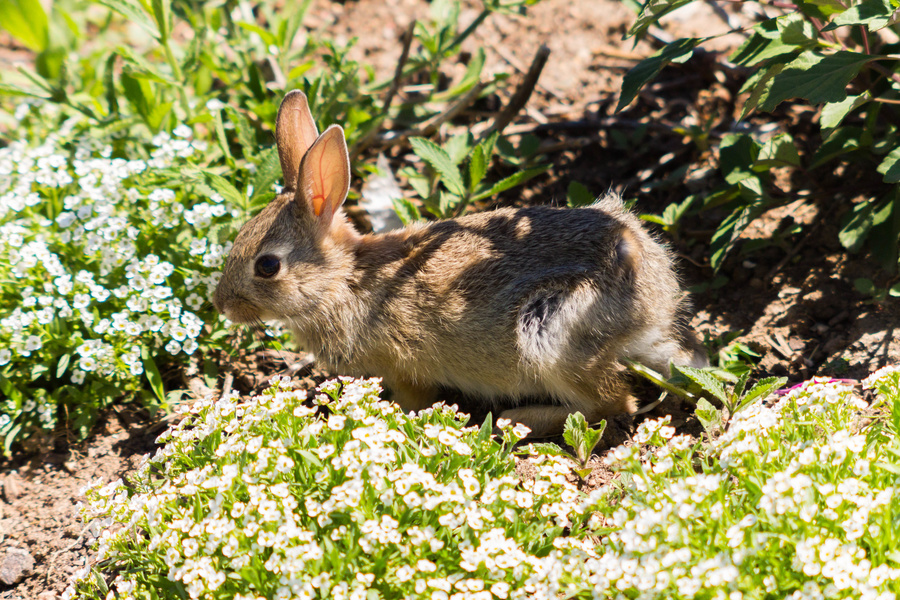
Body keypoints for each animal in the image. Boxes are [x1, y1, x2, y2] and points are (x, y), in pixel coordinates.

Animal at [213, 90, 707, 438]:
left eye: (267, 266)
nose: (222, 305)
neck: (343, 281)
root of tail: (655, 300)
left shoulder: (404, 367)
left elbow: (412, 397)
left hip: (550, 332)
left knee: (613, 405)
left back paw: (517, 419)